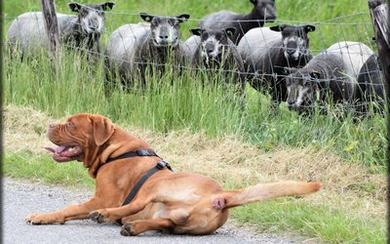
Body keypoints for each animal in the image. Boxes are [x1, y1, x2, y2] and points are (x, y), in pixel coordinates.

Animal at [25, 113, 322, 235]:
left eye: (70, 124)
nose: (49, 124)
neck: (114, 149)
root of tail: (222, 197)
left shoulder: (101, 197)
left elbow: (69, 208)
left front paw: (42, 216)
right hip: (181, 223)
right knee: (165, 222)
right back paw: (133, 227)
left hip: (156, 188)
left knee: (132, 206)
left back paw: (108, 216)